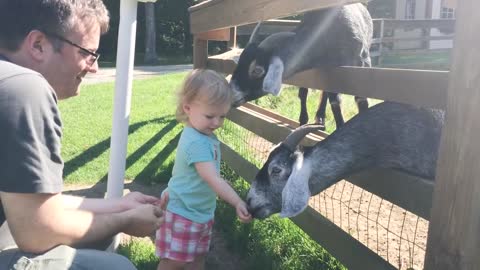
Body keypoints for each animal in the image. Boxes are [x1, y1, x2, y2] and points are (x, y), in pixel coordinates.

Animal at [231, 2, 374, 129]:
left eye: (257, 70)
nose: (230, 95)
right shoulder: (329, 68)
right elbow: (331, 99)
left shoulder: (362, 63)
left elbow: (361, 99)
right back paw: (314, 118)